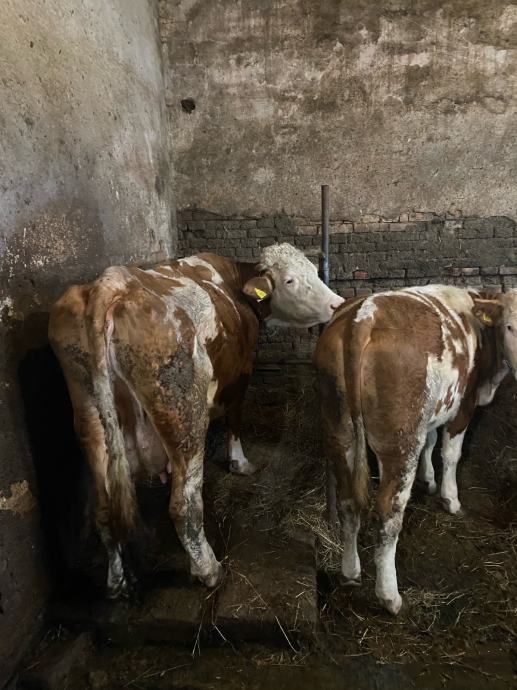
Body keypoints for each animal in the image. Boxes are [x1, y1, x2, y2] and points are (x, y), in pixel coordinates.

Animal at [49, 244, 344, 599]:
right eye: (289, 280)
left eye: (314, 271)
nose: (337, 304)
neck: (233, 283)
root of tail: (111, 283)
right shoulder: (241, 372)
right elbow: (235, 418)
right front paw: (240, 463)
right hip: (184, 414)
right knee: (184, 505)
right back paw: (209, 570)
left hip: (90, 415)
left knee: (105, 511)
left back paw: (117, 582)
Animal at [314, 285, 517, 615]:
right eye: (509, 326)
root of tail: (364, 316)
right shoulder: (464, 406)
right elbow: (450, 454)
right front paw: (450, 499)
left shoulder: (434, 410)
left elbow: (431, 442)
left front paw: (429, 479)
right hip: (400, 441)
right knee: (387, 514)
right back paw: (390, 596)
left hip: (339, 431)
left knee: (348, 502)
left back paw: (350, 572)